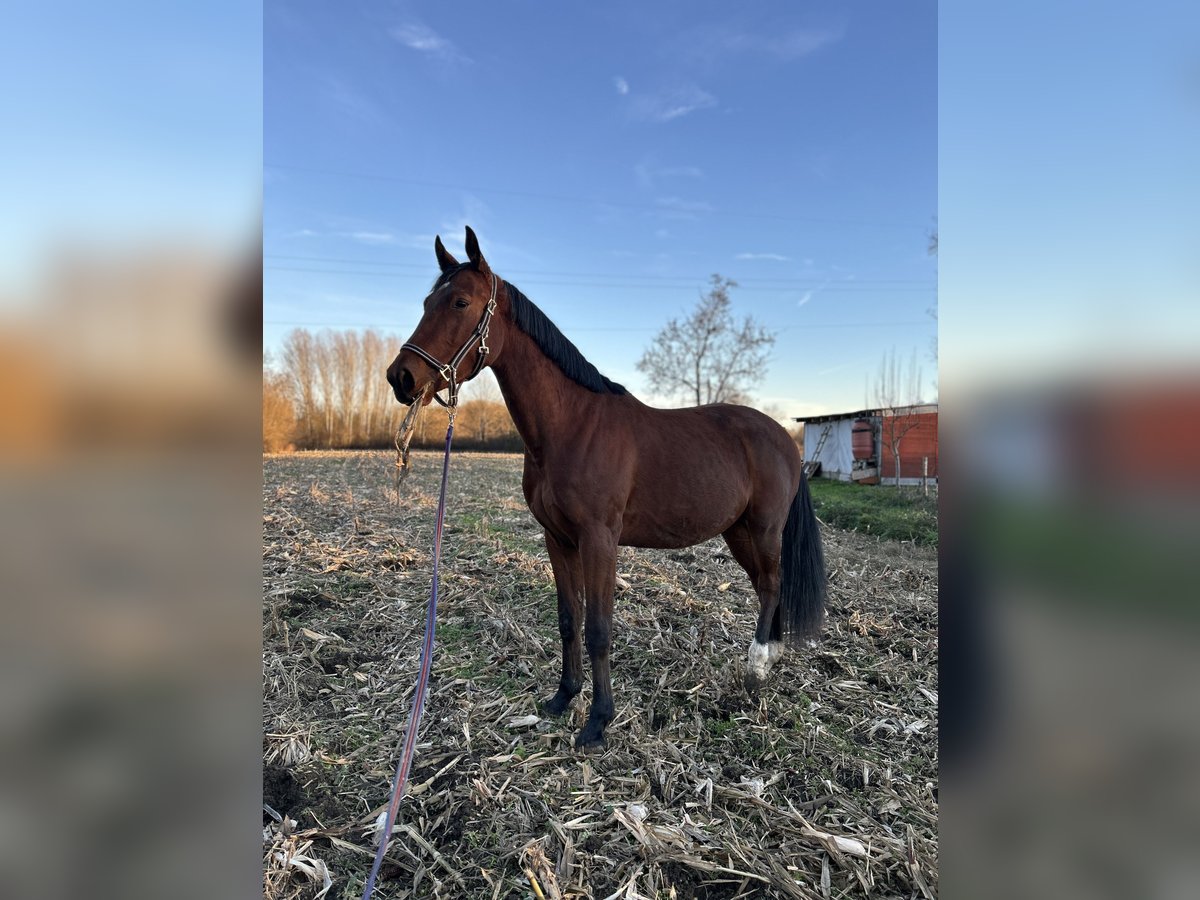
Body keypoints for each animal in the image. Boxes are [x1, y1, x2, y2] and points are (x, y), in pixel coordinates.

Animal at [388, 229, 830, 748]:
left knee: (772, 584)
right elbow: (569, 620)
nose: (401, 377)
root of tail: (784, 436)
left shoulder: (599, 539)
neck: (571, 426)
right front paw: (563, 698)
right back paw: (770, 658)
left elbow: (598, 628)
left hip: (762, 529)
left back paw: (757, 668)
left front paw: (599, 720)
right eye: (426, 302)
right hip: (738, 531)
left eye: (460, 302)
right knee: (767, 585)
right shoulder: (558, 539)